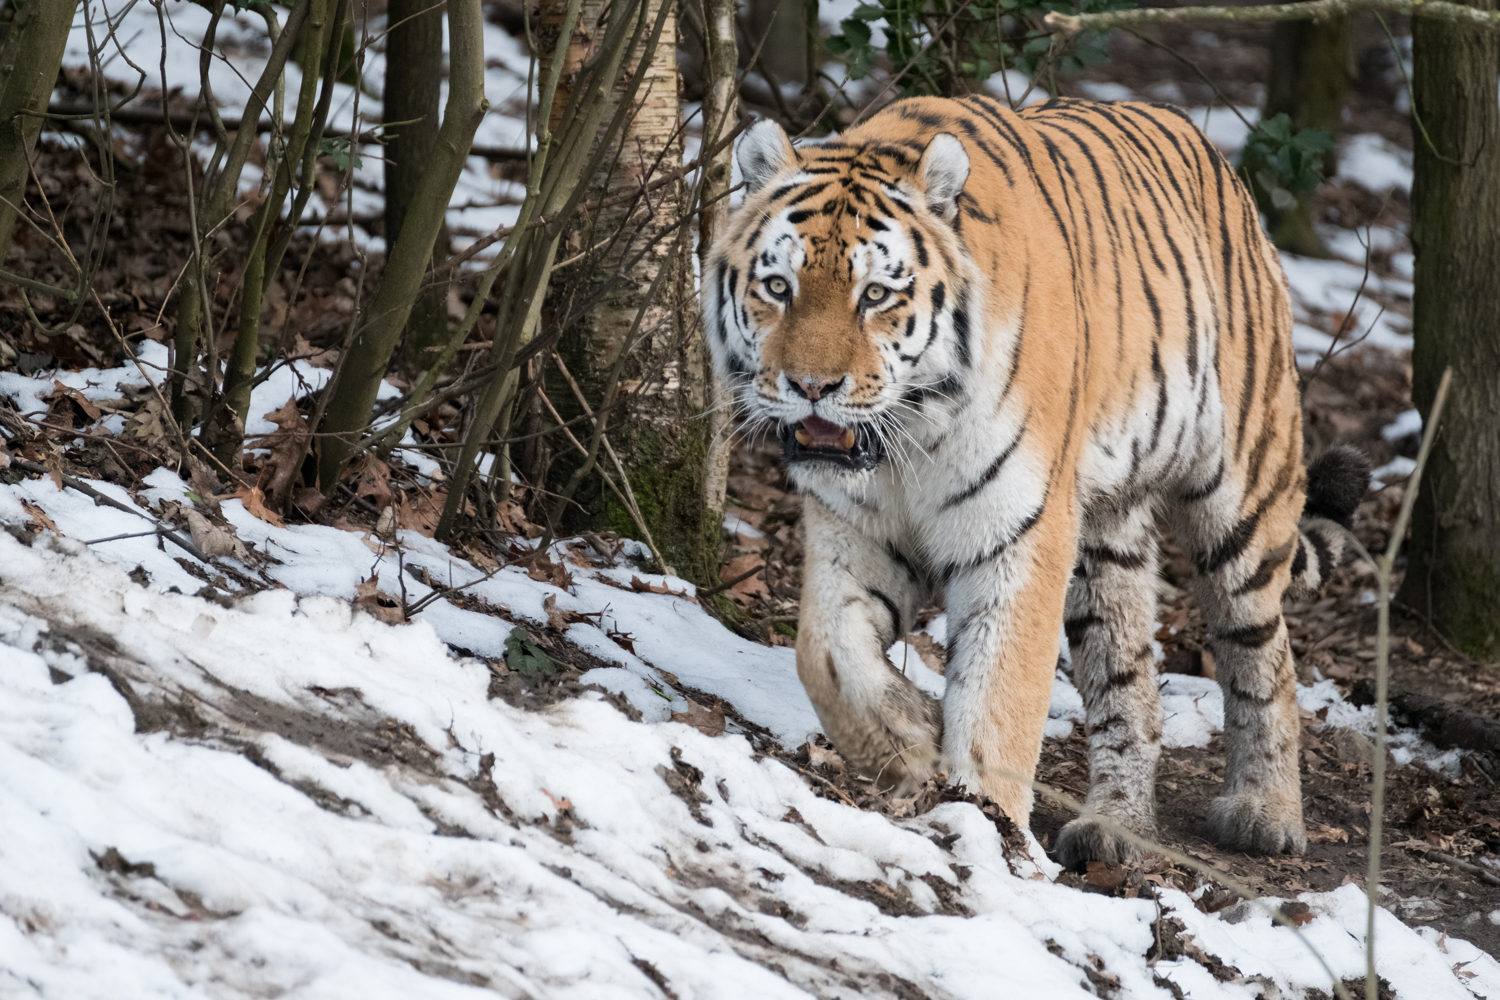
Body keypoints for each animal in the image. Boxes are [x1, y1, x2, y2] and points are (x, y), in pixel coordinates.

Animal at [696, 93, 1368, 869]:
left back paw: (1266, 814)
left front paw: (985, 824)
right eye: (779, 287)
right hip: (1104, 542)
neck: (909, 435)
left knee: (1266, 658)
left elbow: (1000, 696)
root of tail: (1222, 166)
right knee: (1128, 681)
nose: (811, 388)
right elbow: (825, 652)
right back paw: (1114, 827)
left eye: (876, 295)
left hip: (1241, 500)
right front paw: (911, 740)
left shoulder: (1018, 535)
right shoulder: (853, 527)